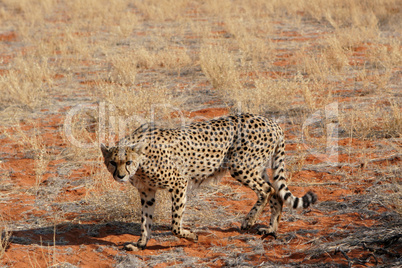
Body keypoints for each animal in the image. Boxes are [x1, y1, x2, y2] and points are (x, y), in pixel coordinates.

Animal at [100, 112, 318, 249]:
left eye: (128, 162)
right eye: (112, 162)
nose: (120, 176)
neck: (141, 162)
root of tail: (271, 122)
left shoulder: (179, 183)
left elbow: (175, 224)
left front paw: (191, 235)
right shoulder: (147, 193)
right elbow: (146, 221)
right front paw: (141, 244)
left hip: (241, 167)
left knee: (266, 190)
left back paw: (248, 221)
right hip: (257, 167)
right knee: (275, 193)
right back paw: (271, 229)